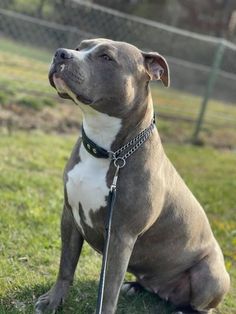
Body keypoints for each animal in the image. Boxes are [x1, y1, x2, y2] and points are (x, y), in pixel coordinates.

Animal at [35, 38, 230, 312]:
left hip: (210, 275)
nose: (61, 53)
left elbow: (108, 290)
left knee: (205, 304)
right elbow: (66, 265)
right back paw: (136, 287)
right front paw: (53, 300)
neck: (108, 151)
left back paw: (184, 308)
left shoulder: (121, 236)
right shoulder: (70, 215)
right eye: (80, 46)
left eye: (106, 57)